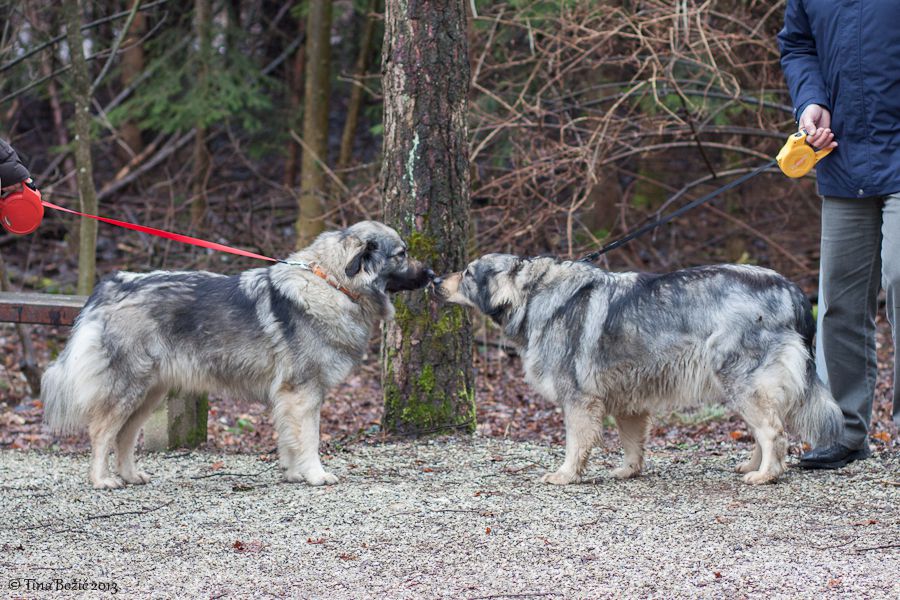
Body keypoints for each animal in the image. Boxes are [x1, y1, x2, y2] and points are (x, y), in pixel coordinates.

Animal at [42, 220, 432, 488]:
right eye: (402, 254)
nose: (430, 273)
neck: (333, 283)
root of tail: (113, 285)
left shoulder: (289, 398)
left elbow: (288, 438)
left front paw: (293, 472)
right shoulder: (303, 393)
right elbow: (309, 438)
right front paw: (315, 474)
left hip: (149, 393)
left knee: (124, 436)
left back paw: (131, 474)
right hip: (128, 388)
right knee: (101, 432)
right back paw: (101, 479)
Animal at [436, 255, 844, 486]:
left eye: (467, 273)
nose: (435, 280)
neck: (534, 294)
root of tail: (790, 289)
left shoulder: (579, 400)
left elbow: (576, 443)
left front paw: (567, 475)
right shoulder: (627, 400)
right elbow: (632, 443)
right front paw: (629, 471)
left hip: (741, 382)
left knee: (773, 431)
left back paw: (767, 475)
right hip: (743, 386)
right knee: (765, 430)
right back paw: (753, 465)